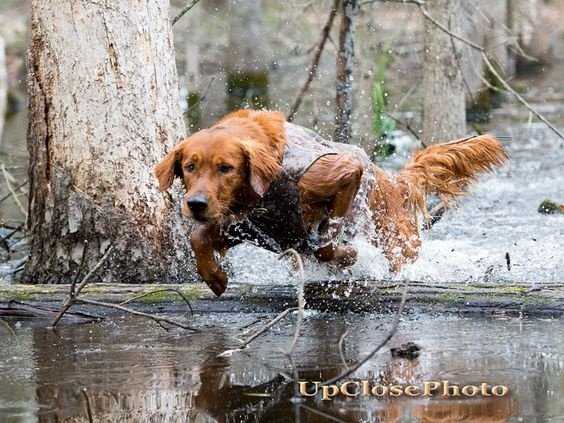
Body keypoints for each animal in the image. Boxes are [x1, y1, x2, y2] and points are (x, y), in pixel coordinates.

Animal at [154, 109, 506, 296]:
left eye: (226, 168)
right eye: (190, 166)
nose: (196, 203)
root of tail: (396, 182)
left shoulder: (345, 169)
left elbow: (323, 235)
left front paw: (345, 253)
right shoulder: (252, 226)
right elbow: (198, 235)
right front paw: (214, 276)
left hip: (397, 244)